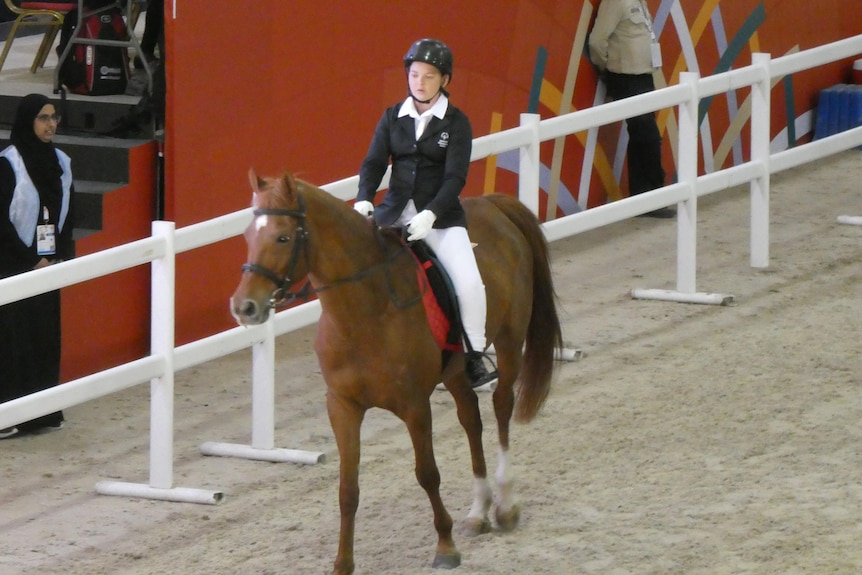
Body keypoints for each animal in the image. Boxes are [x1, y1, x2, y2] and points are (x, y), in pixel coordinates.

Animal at [233, 171, 564, 575]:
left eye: (282, 237)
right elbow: (347, 489)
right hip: (455, 371)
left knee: (501, 408)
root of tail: (492, 204)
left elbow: (428, 474)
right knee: (471, 419)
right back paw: (477, 512)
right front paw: (342, 564)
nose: (244, 307)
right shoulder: (342, 407)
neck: (363, 312)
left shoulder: (414, 406)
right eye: (247, 236)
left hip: (509, 341)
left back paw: (504, 506)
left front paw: (445, 547)